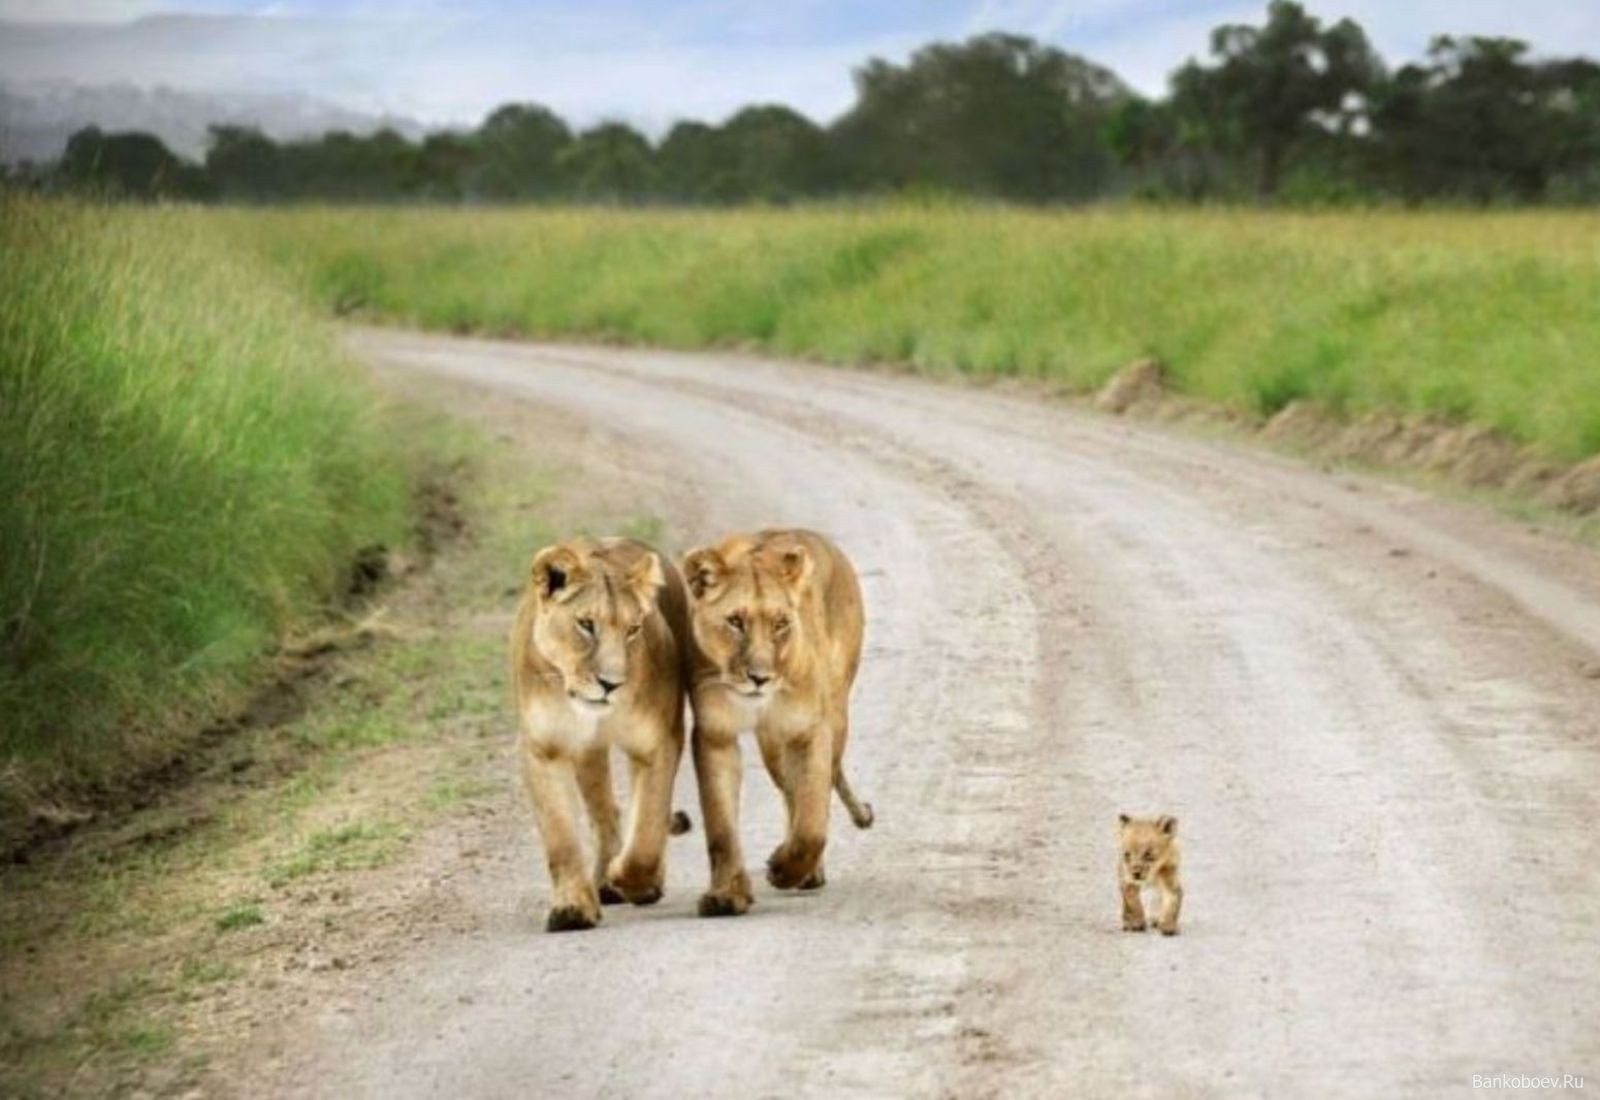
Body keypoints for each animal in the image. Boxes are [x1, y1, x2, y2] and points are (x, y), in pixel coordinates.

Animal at [509, 537, 693, 933]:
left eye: (633, 629)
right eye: (585, 625)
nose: (612, 684)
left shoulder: (657, 741)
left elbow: (648, 826)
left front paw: (634, 881)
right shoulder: (543, 748)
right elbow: (560, 836)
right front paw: (572, 908)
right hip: (587, 753)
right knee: (605, 811)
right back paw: (603, 883)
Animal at [681, 528, 874, 917]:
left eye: (781, 623)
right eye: (735, 622)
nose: (760, 678)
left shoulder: (809, 729)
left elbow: (812, 819)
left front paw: (784, 870)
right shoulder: (715, 733)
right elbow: (721, 824)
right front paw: (726, 895)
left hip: (835, 714)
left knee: (815, 790)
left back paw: (807, 872)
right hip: (772, 741)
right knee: (789, 791)